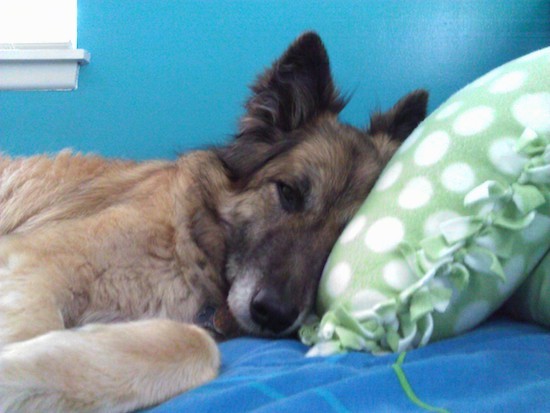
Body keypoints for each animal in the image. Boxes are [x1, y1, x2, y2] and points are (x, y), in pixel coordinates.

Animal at [0, 33, 430, 412]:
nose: (274, 314)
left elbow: (197, 346)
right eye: (288, 193)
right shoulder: (33, 261)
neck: (191, 243)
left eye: (344, 230)